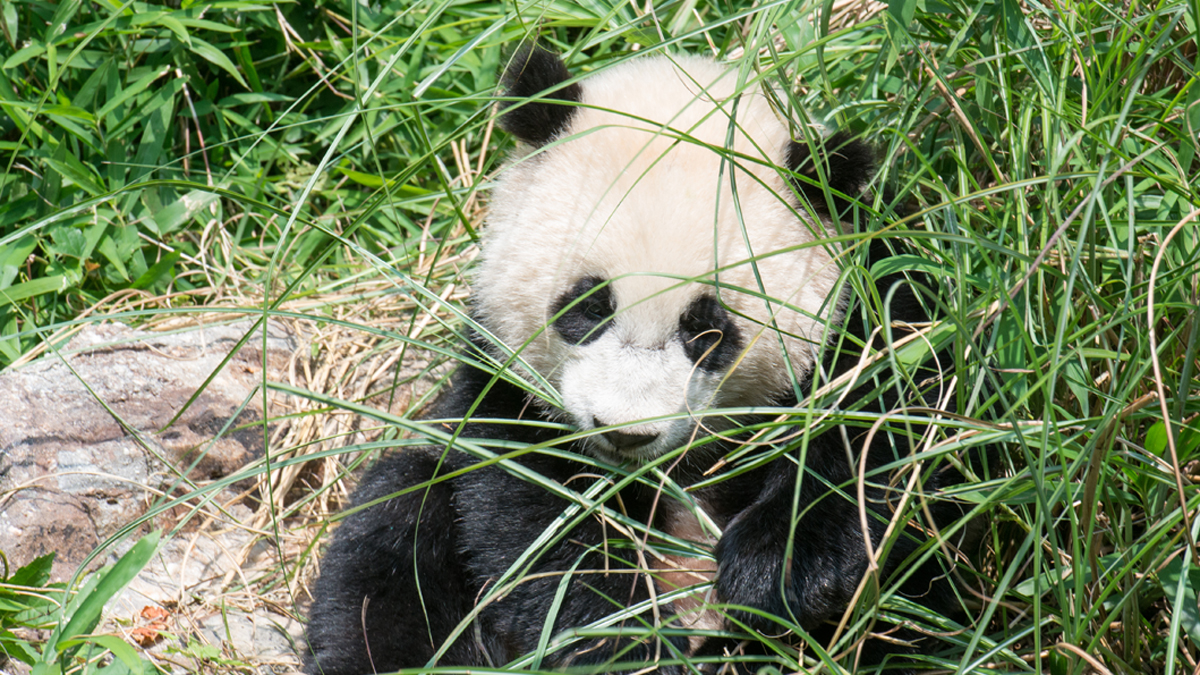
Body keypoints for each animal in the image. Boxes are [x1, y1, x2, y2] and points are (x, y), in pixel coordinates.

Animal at [302, 47, 974, 672]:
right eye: (590, 304)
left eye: (708, 331)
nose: (625, 434)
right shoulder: (502, 375)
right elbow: (531, 517)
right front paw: (628, 639)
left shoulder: (873, 304)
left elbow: (887, 434)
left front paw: (774, 573)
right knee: (390, 550)